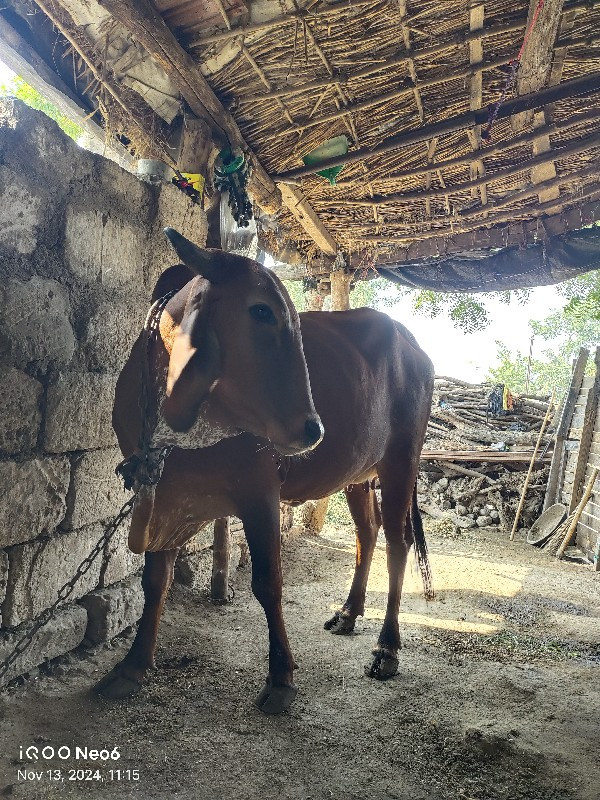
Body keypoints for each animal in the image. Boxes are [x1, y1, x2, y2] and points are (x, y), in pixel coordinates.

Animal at [99, 230, 436, 712]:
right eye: (261, 311)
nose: (314, 429)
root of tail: (415, 346)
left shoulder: (259, 492)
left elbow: (268, 583)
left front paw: (280, 676)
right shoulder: (163, 493)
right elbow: (154, 581)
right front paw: (132, 666)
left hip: (401, 461)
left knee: (398, 542)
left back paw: (387, 648)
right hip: (358, 474)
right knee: (367, 533)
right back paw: (348, 613)